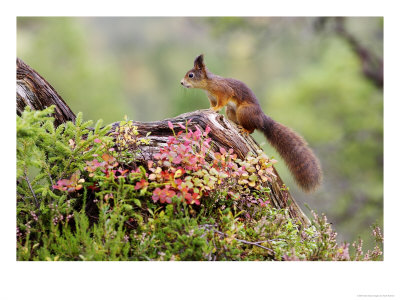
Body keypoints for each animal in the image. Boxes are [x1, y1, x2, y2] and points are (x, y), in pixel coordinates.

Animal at [181, 54, 322, 191]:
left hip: (244, 111)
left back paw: (245, 130)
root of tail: (261, 119)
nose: (181, 83)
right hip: (231, 111)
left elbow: (221, 102)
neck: (208, 84)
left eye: (191, 75)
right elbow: (213, 104)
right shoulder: (212, 98)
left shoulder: (224, 91)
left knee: (253, 128)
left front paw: (213, 110)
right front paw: (209, 108)